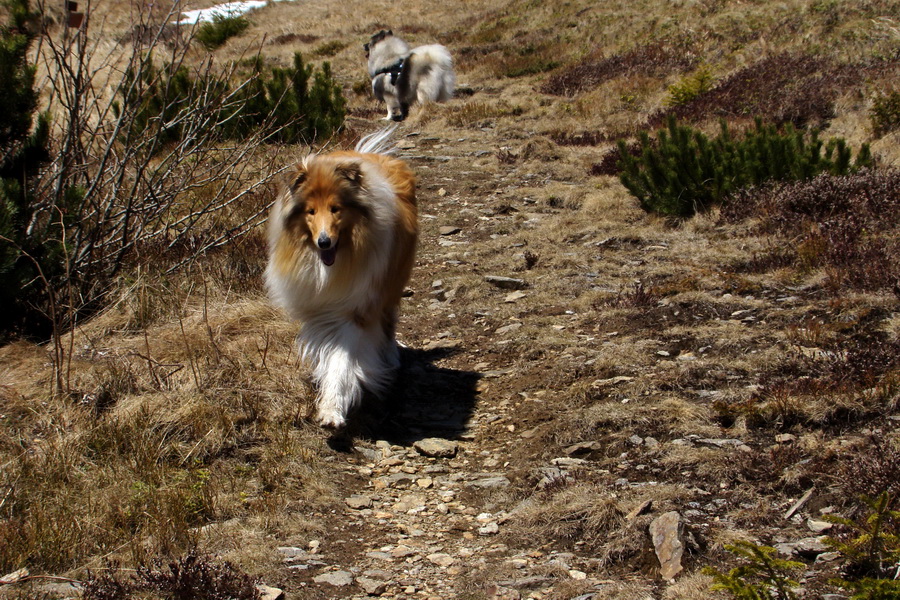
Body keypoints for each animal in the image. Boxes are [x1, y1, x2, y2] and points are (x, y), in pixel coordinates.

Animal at [268, 129, 418, 428]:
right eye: (311, 211)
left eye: (336, 208)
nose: (324, 242)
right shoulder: (322, 308)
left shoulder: (357, 309)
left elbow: (342, 361)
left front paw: (332, 411)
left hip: (393, 283)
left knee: (389, 320)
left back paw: (391, 356)